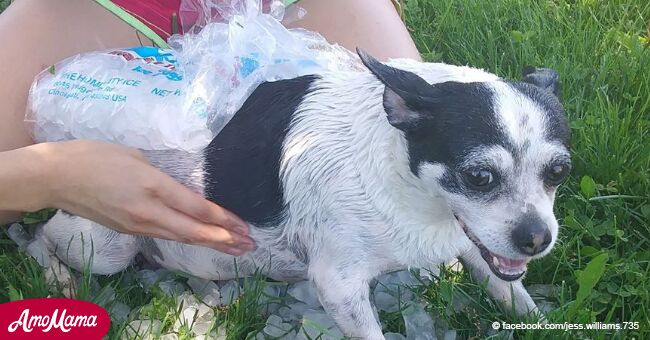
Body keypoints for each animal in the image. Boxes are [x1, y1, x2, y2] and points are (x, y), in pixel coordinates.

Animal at [39, 49, 568, 338]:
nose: (537, 239)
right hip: (104, 244)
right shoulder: (340, 285)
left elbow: (509, 287)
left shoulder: (477, 243)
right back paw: (58, 278)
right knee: (41, 236)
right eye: (479, 177)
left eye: (560, 171)